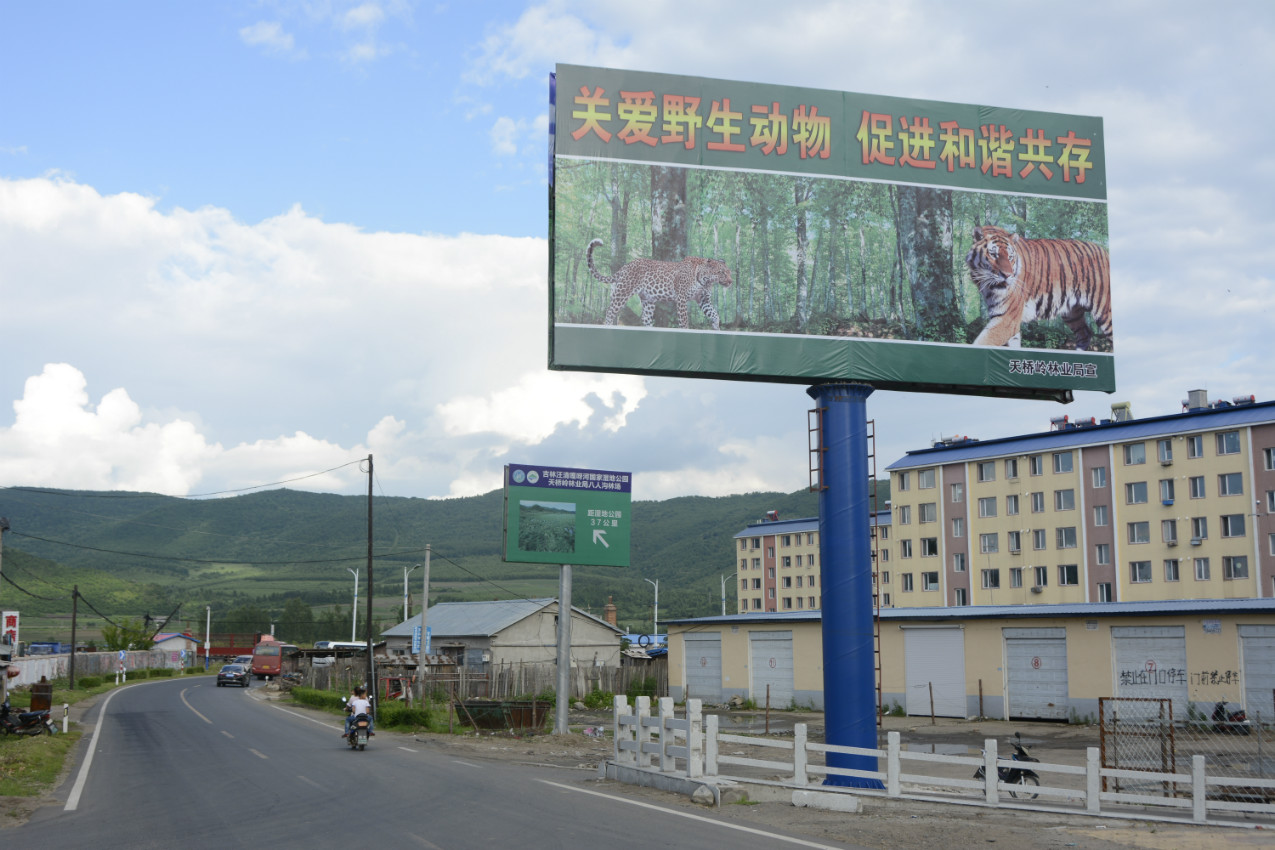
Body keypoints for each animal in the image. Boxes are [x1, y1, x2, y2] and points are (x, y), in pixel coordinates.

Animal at [583, 242, 734, 331]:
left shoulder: (704, 300)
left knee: (645, 318)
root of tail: (625, 266)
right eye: (721, 272)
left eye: (729, 272)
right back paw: (607, 326)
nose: (731, 281)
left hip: (648, 299)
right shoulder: (681, 298)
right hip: (622, 292)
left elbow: (715, 314)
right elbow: (684, 321)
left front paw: (716, 328)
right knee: (610, 311)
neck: (705, 280)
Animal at [969, 224, 1111, 351]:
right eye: (993, 254)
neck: (988, 286)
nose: (1007, 275)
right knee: (1085, 334)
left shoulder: (1007, 318)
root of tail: (1104, 251)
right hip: (1072, 313)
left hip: (1104, 310)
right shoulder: (1008, 318)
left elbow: (983, 341)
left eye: (1010, 257)